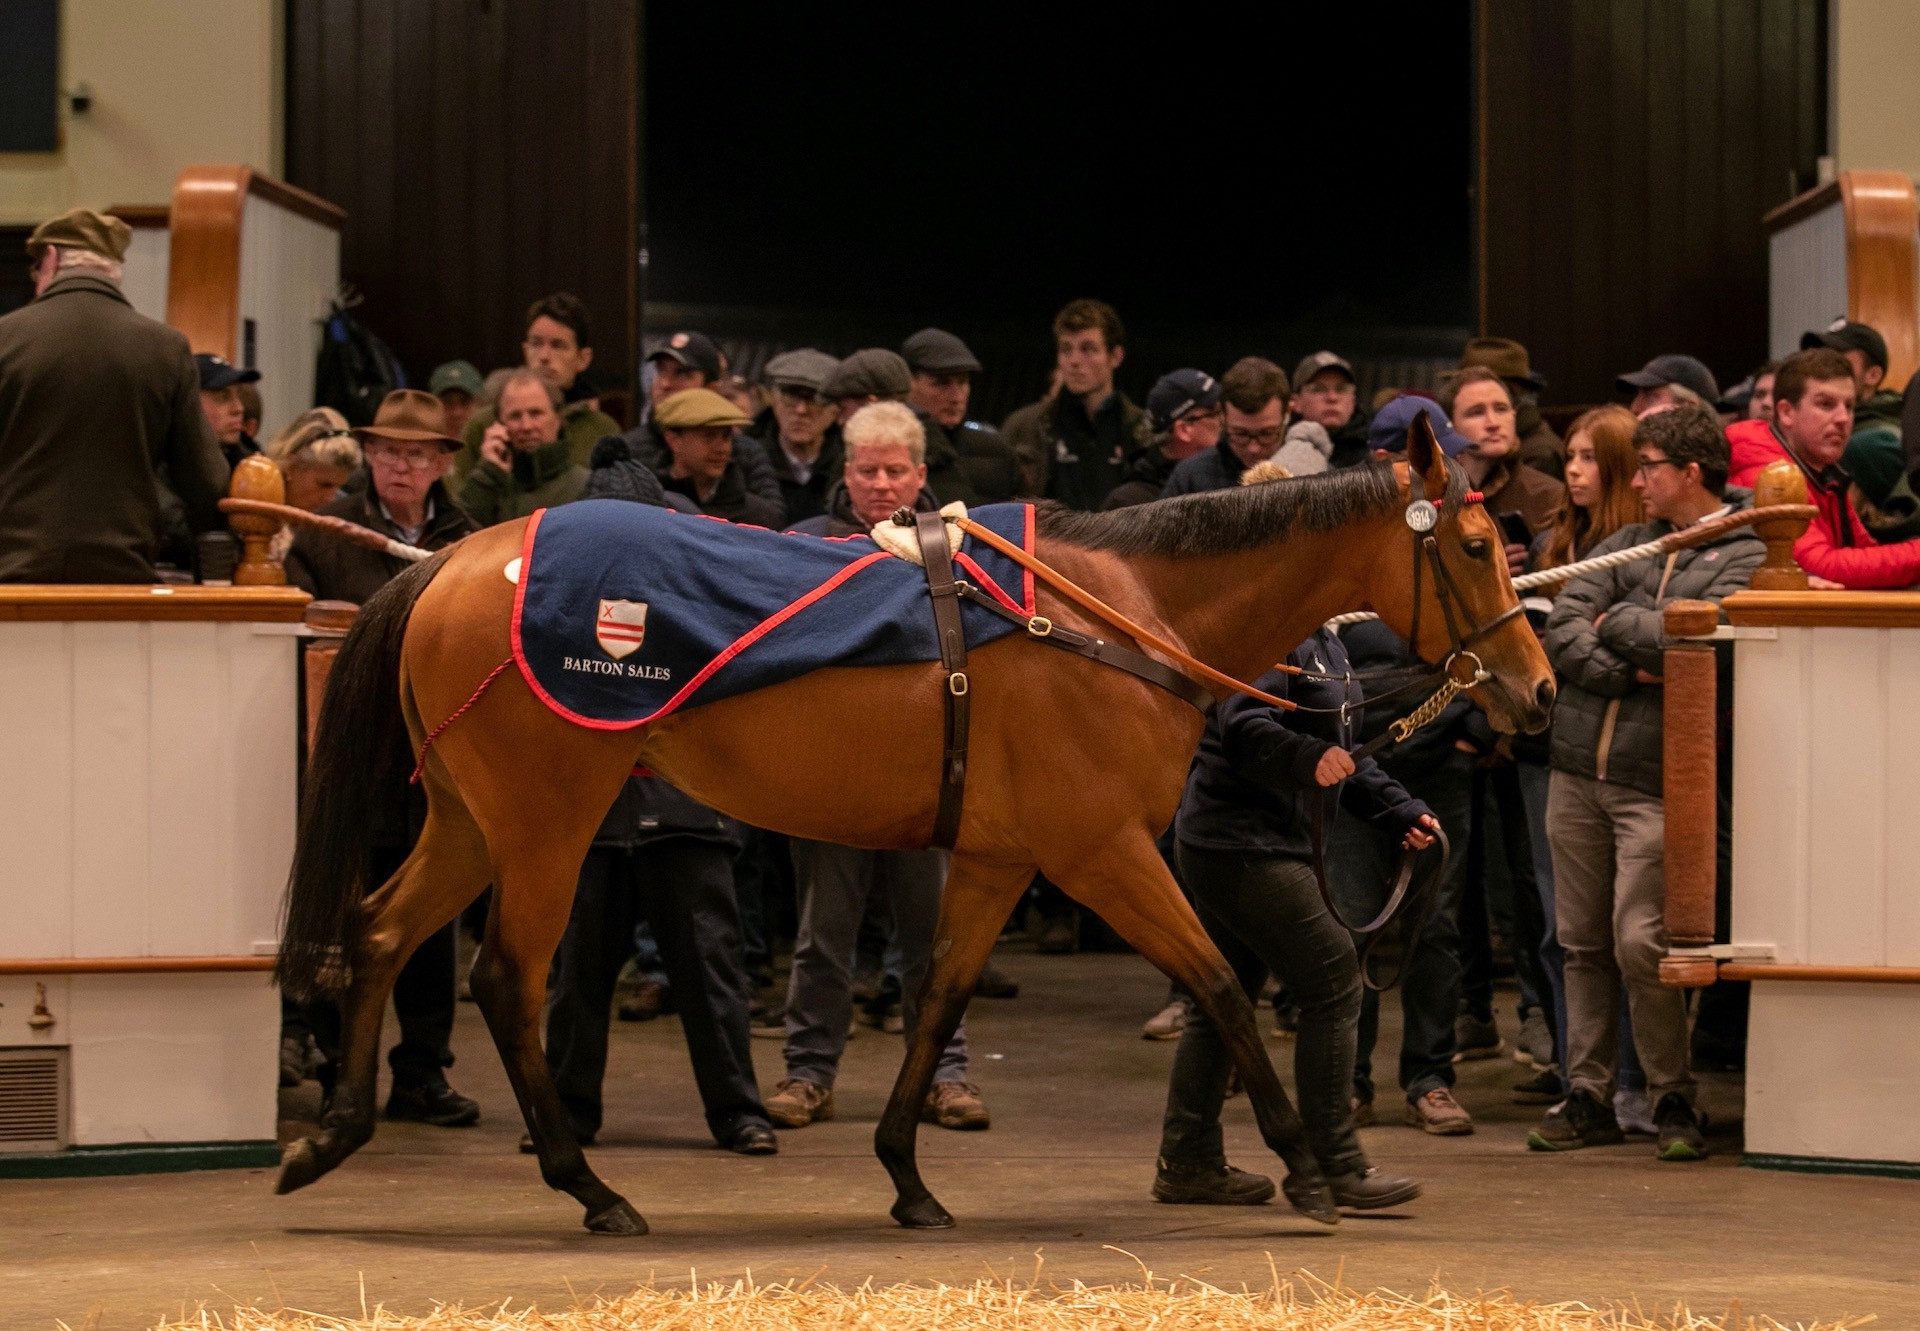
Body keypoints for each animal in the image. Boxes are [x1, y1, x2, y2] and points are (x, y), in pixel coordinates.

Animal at [274, 418, 1559, 1236]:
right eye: (1478, 545)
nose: (1536, 689)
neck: (1120, 615)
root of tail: (448, 562)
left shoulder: (994, 859)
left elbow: (938, 995)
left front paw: (906, 1173)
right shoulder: (1102, 855)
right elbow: (1222, 988)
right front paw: (1306, 1170)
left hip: (470, 821)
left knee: (379, 933)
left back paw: (330, 1135)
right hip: (547, 824)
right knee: (503, 976)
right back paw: (588, 1186)